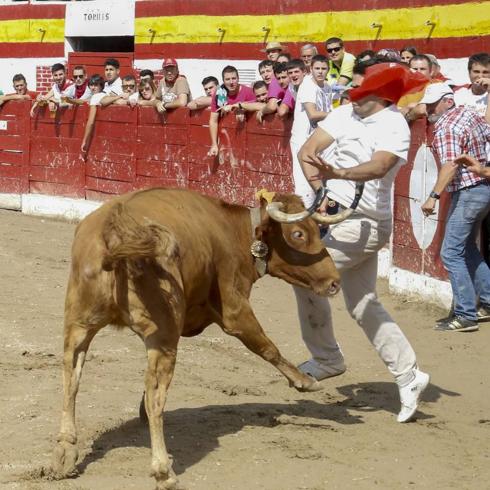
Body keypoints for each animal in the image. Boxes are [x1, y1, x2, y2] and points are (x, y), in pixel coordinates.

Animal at [50, 189, 340, 490]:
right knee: (155, 394)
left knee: (71, 379)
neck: (232, 230)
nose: (334, 281)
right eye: (298, 234)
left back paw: (65, 452)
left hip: (79, 324)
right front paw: (304, 381)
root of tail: (115, 233)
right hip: (163, 334)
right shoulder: (235, 308)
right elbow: (266, 346)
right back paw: (163, 470)